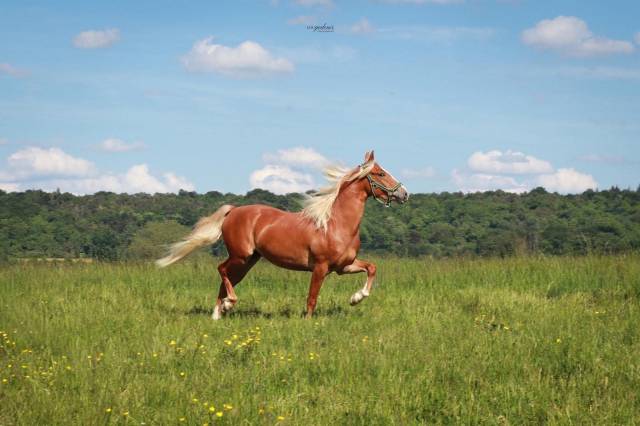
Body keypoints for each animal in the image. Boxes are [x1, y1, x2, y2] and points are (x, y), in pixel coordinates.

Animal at [156, 151, 409, 319]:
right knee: (221, 270)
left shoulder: (343, 266)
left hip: (248, 261)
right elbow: (311, 299)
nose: (405, 194)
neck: (336, 224)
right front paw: (308, 323)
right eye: (380, 173)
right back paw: (229, 305)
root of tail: (234, 210)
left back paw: (219, 313)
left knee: (225, 279)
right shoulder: (320, 267)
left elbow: (371, 268)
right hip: (240, 255)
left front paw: (355, 299)